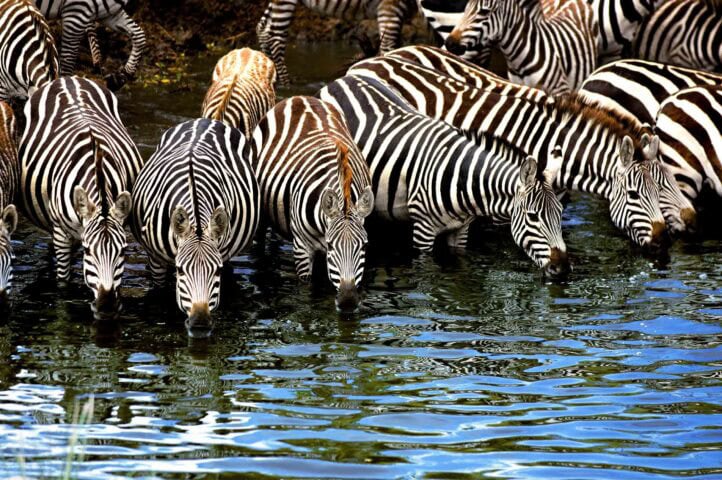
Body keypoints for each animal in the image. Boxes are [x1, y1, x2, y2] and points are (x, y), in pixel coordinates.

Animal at [19, 76, 142, 315]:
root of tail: (69, 79)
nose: (106, 306)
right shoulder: (61, 233)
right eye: (88, 250)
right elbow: (63, 284)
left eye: (123, 251)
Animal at [130, 119, 260, 338]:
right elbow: (160, 294)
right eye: (180, 270)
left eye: (216, 270)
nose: (200, 324)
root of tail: (205, 120)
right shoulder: (155, 258)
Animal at [252, 96, 374, 312]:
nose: (348, 302)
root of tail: (300, 97)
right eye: (331, 245)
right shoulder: (302, 247)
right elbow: (307, 289)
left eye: (365, 246)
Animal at [318, 75, 570, 277]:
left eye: (560, 213)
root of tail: (340, 80)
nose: (563, 269)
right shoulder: (423, 230)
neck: (463, 183)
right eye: (533, 216)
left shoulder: (461, 230)